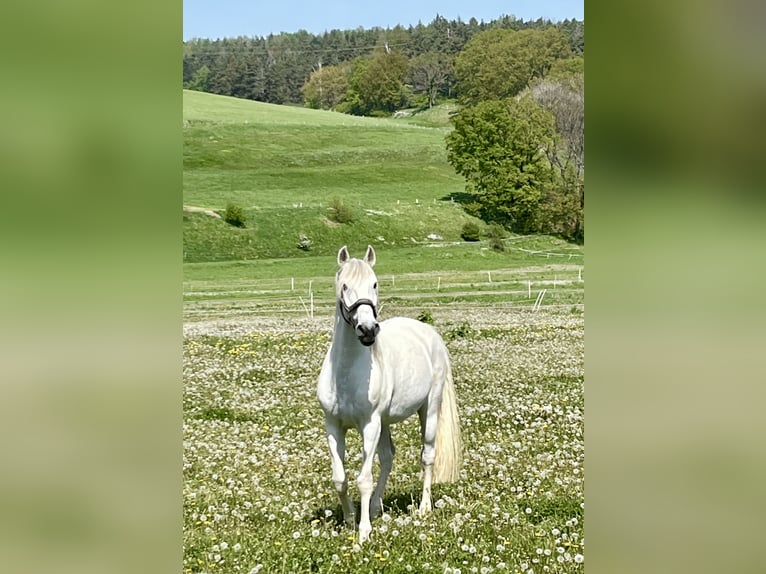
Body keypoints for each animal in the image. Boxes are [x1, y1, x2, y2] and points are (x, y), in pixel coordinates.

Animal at [318, 246, 462, 544]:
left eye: (375, 283)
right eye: (344, 285)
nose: (368, 330)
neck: (345, 373)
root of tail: (428, 332)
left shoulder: (369, 425)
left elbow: (364, 479)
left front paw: (363, 532)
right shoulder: (333, 425)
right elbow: (340, 477)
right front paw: (349, 520)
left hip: (429, 410)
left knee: (427, 455)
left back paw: (423, 507)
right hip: (384, 422)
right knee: (387, 457)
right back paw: (375, 507)